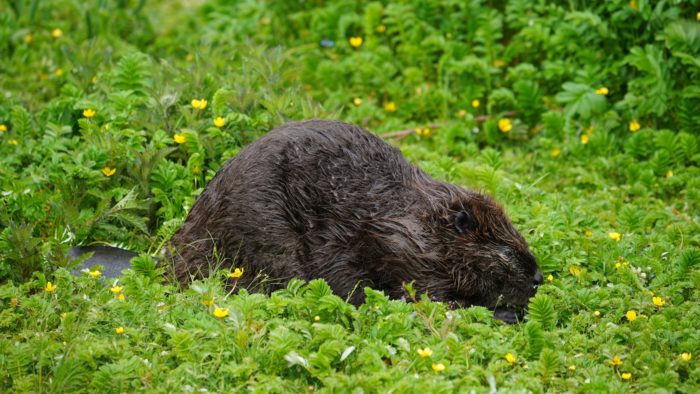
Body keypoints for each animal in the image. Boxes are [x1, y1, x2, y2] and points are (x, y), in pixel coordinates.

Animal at [170, 118, 540, 322]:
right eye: (507, 251)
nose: (538, 278)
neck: (415, 221)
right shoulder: (399, 251)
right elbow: (427, 297)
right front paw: (506, 313)